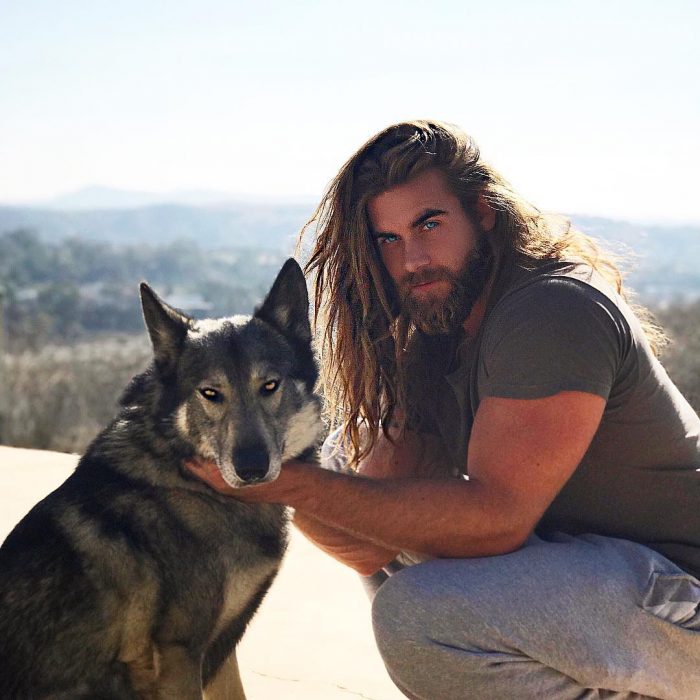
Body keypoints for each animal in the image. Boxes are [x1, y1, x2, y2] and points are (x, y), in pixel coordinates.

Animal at [0, 258, 322, 700]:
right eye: (210, 393)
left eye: (269, 385)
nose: (252, 467)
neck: (188, 482)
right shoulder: (179, 652)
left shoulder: (221, 646)